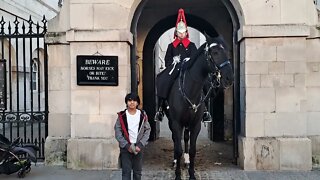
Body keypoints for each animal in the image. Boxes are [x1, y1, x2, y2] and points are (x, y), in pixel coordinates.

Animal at [164, 34, 234, 179]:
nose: (229, 77)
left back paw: (186, 161)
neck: (191, 90)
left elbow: (192, 150)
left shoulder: (195, 124)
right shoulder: (176, 123)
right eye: (215, 52)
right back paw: (176, 161)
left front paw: (191, 173)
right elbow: (177, 148)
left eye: (226, 50)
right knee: (175, 139)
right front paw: (178, 174)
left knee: (185, 138)